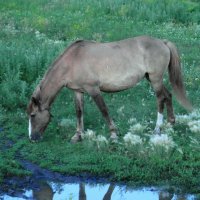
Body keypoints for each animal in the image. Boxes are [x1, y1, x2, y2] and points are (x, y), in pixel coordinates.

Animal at [27, 35, 192, 142]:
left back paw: (157, 129)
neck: (73, 60)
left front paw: (113, 134)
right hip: (151, 79)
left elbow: (104, 110)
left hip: (155, 79)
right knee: (168, 95)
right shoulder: (78, 91)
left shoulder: (93, 89)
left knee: (160, 99)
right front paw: (78, 135)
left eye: (33, 115)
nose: (32, 138)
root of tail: (163, 42)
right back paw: (170, 123)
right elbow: (79, 112)